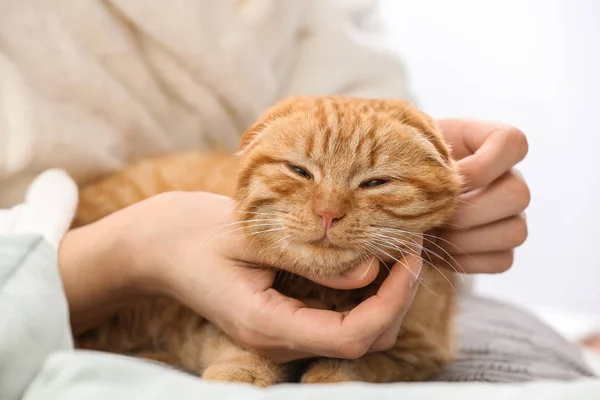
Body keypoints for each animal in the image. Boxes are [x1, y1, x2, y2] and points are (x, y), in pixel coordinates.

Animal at [71, 95, 464, 386]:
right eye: (300, 171)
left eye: (375, 183)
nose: (328, 213)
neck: (325, 293)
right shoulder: (206, 325)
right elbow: (239, 350)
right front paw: (237, 376)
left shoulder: (419, 353)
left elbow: (362, 365)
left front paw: (327, 376)